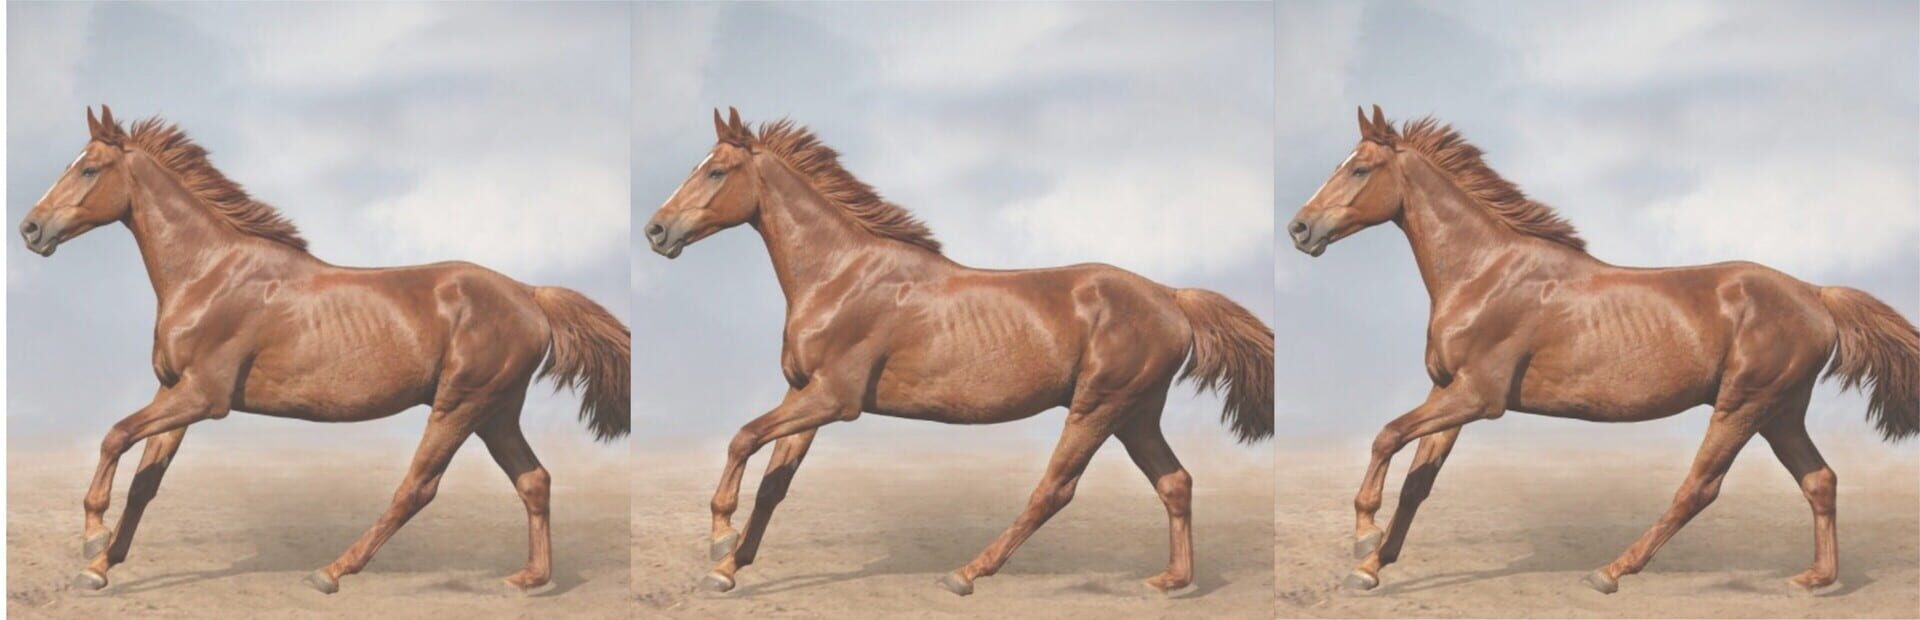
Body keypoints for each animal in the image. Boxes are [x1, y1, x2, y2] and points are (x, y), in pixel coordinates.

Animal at [18, 106, 630, 594]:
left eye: (89, 168)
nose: (30, 229)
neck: (210, 273)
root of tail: (530, 294)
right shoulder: (174, 391)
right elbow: (146, 481)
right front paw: (100, 567)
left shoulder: (203, 397)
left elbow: (114, 435)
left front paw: (92, 539)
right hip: (496, 412)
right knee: (533, 480)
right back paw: (528, 579)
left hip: (460, 406)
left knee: (417, 488)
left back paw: (331, 572)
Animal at [642, 108, 1273, 596]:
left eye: (716, 170)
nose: (656, 231)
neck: (840, 274)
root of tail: (1171, 296)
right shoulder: (804, 393)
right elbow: (775, 482)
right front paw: (727, 569)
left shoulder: (834, 399)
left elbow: (742, 437)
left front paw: (720, 540)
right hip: (1136, 413)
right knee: (1175, 482)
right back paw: (1171, 581)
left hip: (1099, 407)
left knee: (1054, 490)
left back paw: (966, 575)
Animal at [1286, 105, 1919, 595]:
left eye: (1360, 168)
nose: (1299, 229)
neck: (1484, 272)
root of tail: (1816, 294)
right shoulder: (1448, 391)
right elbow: (1419, 481)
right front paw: (1371, 568)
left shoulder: (1478, 396)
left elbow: (1386, 435)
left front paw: (1363, 537)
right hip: (1780, 412)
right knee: (1820, 480)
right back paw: (1815, 579)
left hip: (1743, 406)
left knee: (1699, 488)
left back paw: (1611, 572)